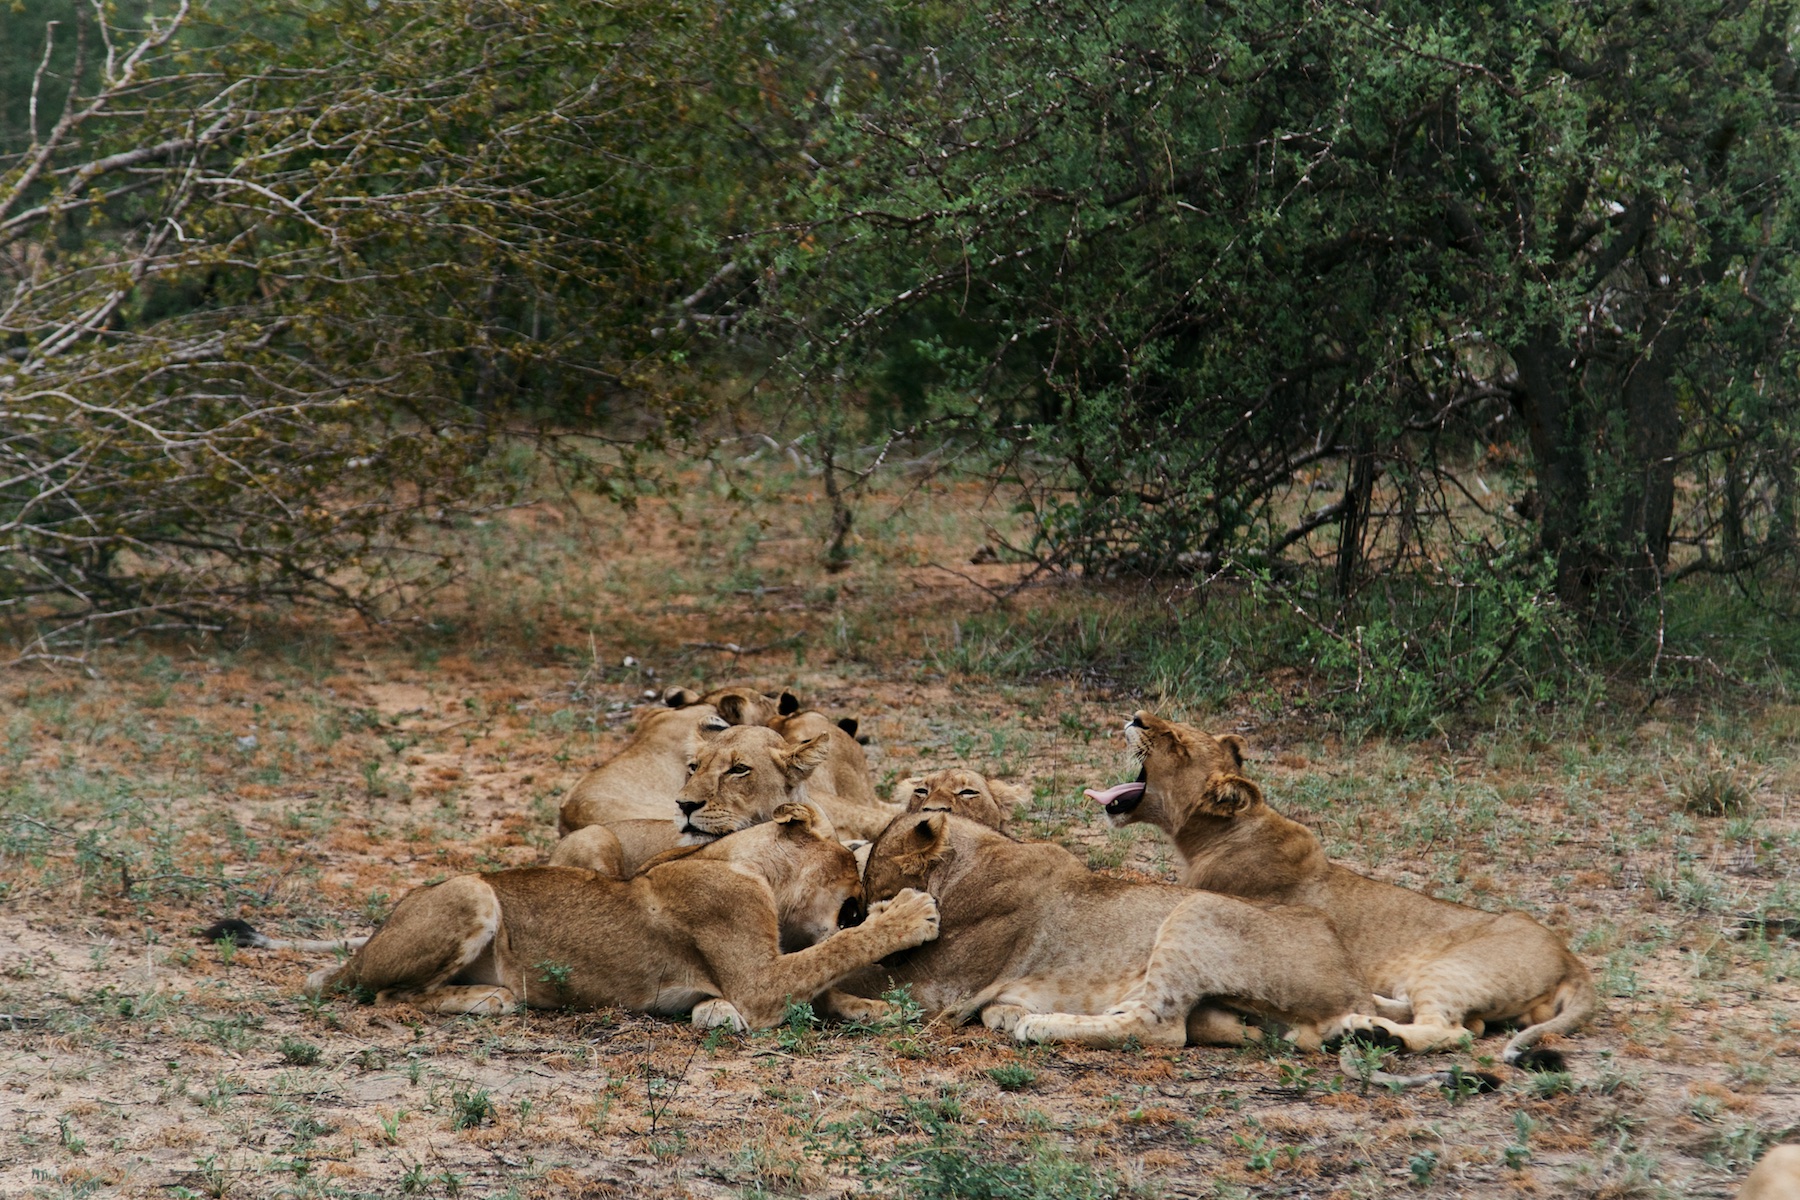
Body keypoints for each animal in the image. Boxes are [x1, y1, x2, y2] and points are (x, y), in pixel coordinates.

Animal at [280, 802, 943, 1029]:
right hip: (471, 892)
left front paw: (875, 1009)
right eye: (855, 875)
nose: (867, 900)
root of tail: (365, 945)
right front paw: (910, 914)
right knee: (388, 996)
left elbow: (827, 978)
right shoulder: (758, 982)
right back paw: (489, 999)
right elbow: (834, 951)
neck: (752, 865)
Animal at [1080, 708, 1605, 1065]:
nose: (1136, 716)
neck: (1213, 838)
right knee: (1452, 1018)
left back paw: (1374, 1032)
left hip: (1450, 969)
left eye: (1177, 742)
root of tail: (1570, 956)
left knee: (1453, 1031)